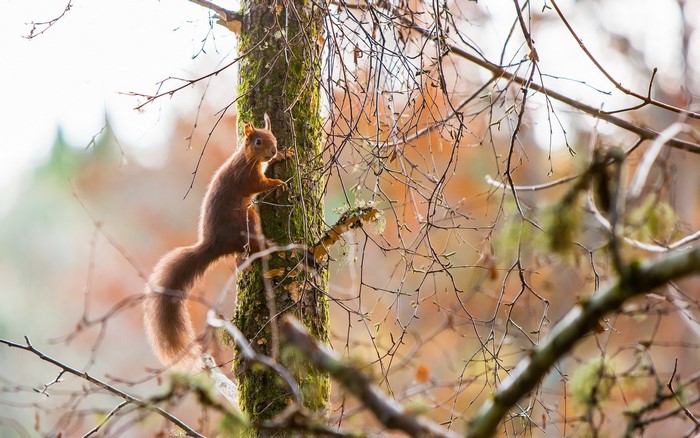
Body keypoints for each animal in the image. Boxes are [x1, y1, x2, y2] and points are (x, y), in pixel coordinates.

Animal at [143, 114, 293, 370]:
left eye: (273, 138)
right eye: (258, 142)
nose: (273, 151)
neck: (247, 158)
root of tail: (215, 243)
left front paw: (285, 154)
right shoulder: (247, 178)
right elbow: (260, 185)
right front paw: (277, 182)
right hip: (247, 220)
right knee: (253, 243)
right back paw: (269, 245)